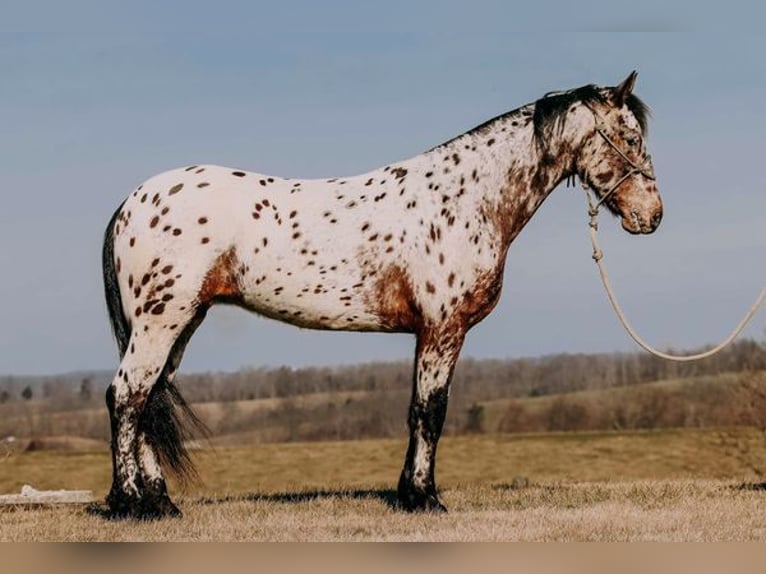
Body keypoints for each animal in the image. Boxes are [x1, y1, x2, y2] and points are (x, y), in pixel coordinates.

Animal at [102, 72, 664, 520]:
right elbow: (430, 411)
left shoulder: (428, 333)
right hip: (161, 322)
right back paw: (130, 504)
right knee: (126, 397)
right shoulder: (442, 329)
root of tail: (132, 202)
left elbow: (418, 410)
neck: (465, 199)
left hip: (179, 324)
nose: (652, 216)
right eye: (630, 137)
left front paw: (410, 493)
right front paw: (425, 498)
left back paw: (160, 502)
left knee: (148, 399)